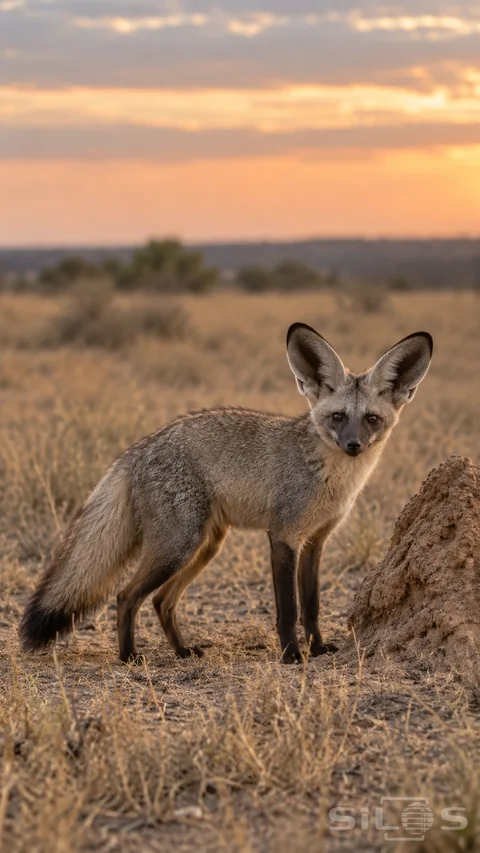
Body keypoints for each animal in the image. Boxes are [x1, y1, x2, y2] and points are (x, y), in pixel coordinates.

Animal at [20, 323, 433, 665]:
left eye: (371, 419)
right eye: (337, 417)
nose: (353, 446)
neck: (330, 478)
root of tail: (138, 448)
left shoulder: (315, 541)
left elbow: (312, 605)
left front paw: (316, 648)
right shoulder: (284, 536)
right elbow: (288, 609)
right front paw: (291, 655)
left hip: (205, 547)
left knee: (161, 601)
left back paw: (182, 651)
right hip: (178, 546)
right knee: (127, 596)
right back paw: (128, 657)